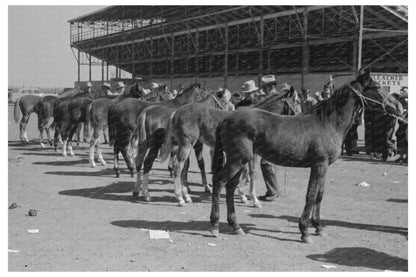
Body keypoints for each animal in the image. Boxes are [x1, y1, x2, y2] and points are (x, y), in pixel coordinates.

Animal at [161, 87, 300, 206]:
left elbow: (248, 171)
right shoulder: (249, 152)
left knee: (184, 168)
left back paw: (187, 196)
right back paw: (180, 198)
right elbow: (250, 172)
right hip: (187, 144)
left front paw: (246, 197)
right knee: (178, 167)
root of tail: (176, 112)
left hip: (187, 145)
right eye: (297, 101)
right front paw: (251, 199)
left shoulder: (249, 152)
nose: (300, 115)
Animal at [210, 68, 402, 242]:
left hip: (240, 161)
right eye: (377, 87)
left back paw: (236, 226)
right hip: (238, 160)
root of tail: (226, 119)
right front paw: (305, 231)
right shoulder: (319, 164)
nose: (399, 108)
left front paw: (318, 227)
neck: (327, 123)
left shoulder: (323, 167)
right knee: (219, 182)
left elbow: (319, 194)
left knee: (230, 187)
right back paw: (215, 226)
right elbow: (311, 194)